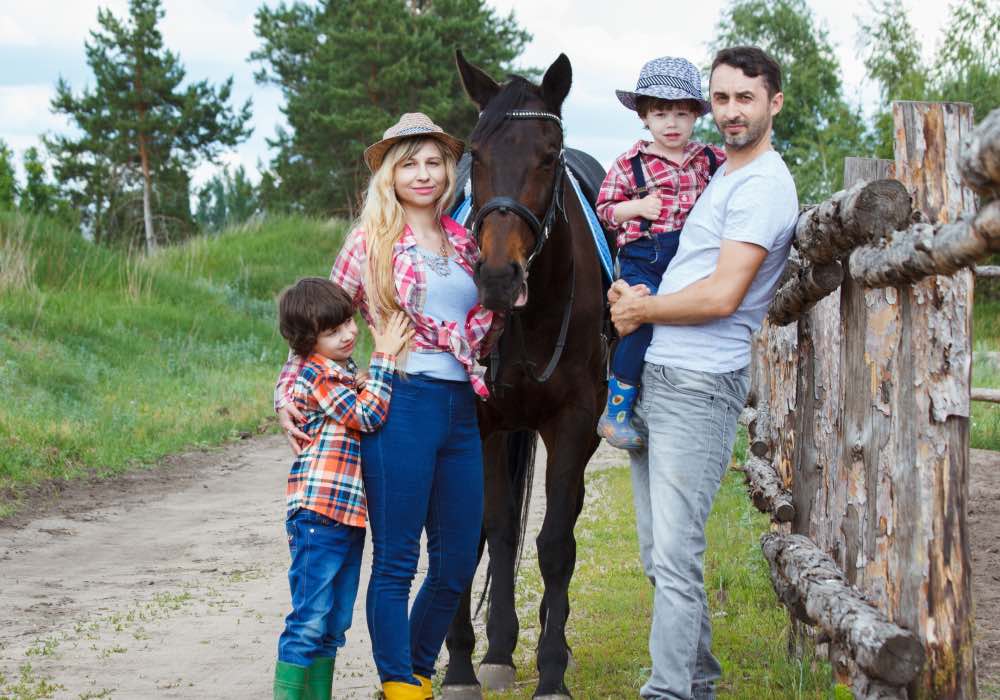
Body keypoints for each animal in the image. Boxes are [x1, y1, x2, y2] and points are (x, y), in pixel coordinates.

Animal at [442, 52, 612, 696]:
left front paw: (552, 671)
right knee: (500, 532)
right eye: (477, 153)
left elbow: (556, 543)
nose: (496, 276)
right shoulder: (478, 422)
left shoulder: (574, 422)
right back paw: (496, 649)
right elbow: (480, 531)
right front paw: (463, 666)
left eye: (548, 154)